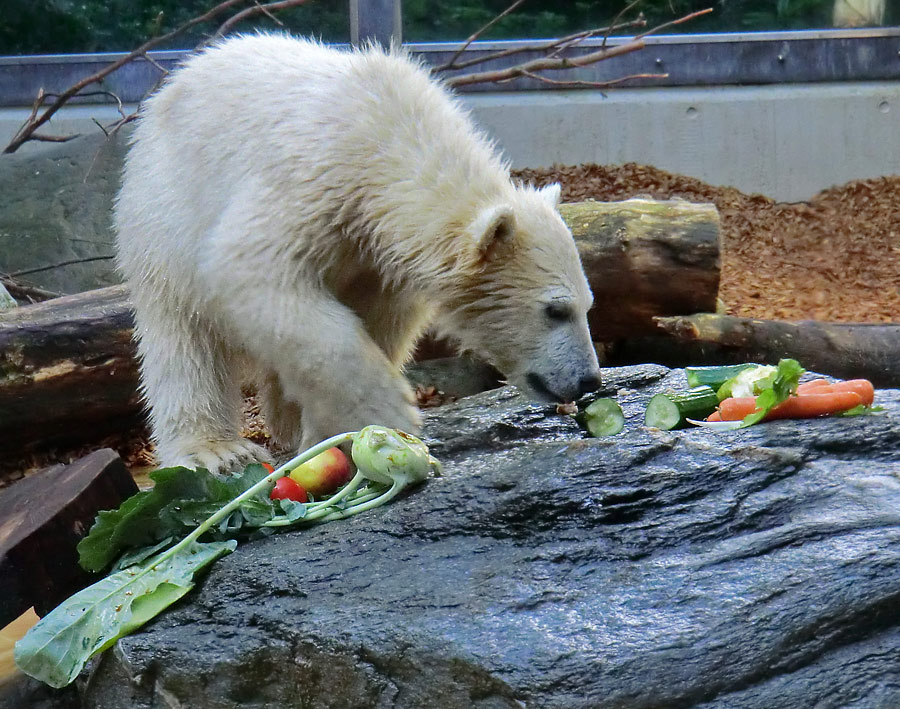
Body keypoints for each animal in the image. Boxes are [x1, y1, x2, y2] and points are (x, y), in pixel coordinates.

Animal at [114, 36, 604, 472]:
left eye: (588, 305)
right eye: (555, 309)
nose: (588, 380)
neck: (385, 138)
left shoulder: (378, 260)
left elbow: (377, 320)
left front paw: (329, 431)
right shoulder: (310, 182)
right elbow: (253, 271)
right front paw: (389, 413)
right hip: (163, 215)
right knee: (183, 339)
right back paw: (216, 450)